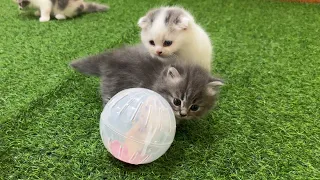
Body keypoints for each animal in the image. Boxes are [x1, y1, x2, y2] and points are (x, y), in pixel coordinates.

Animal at [70, 45, 222, 124]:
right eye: (177, 101)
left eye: (195, 107)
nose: (183, 113)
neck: (158, 79)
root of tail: (109, 58)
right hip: (112, 85)